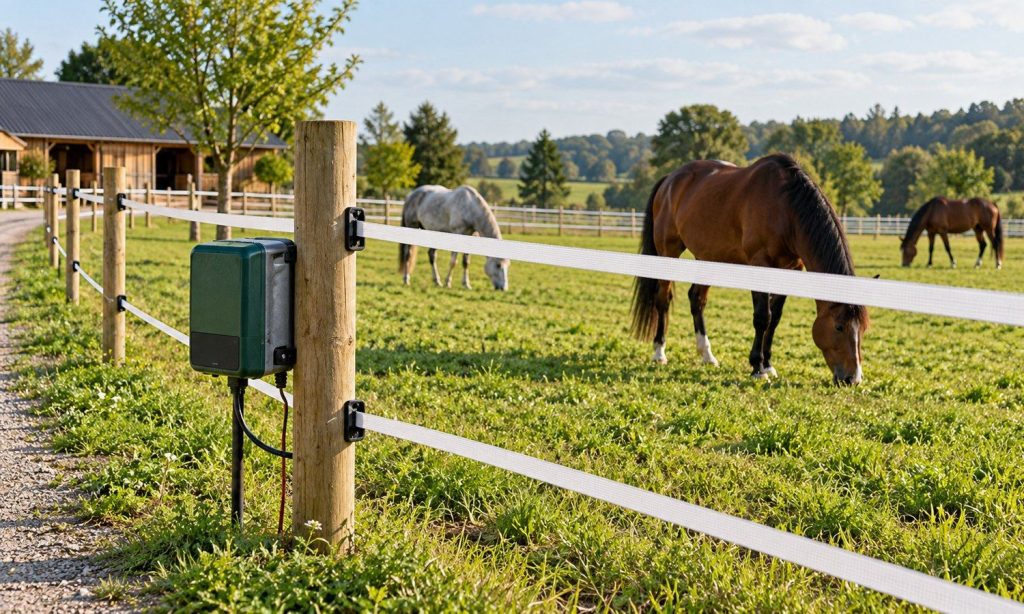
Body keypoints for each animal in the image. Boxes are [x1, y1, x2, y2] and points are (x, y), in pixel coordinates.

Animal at [631, 153, 868, 385]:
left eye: (863, 329)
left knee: (697, 300)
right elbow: (763, 317)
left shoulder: (791, 269)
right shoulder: (760, 265)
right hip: (668, 252)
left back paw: (707, 355)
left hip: (708, 256)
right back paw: (659, 352)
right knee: (663, 300)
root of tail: (670, 179)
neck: (786, 208)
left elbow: (775, 318)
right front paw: (757, 368)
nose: (853, 379)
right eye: (839, 326)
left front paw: (768, 364)